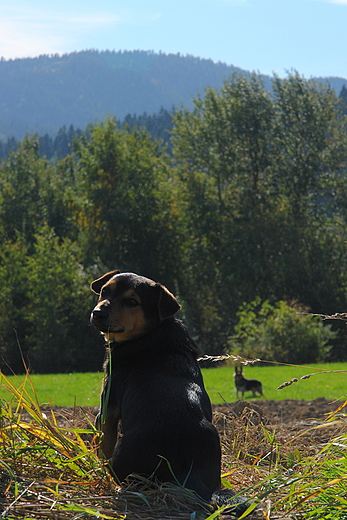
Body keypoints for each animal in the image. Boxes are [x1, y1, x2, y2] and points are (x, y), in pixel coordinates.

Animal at [91, 272, 262, 516]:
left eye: (132, 302)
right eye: (105, 291)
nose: (98, 313)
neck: (150, 333)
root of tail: (183, 469)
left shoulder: (109, 405)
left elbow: (103, 445)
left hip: (124, 455)